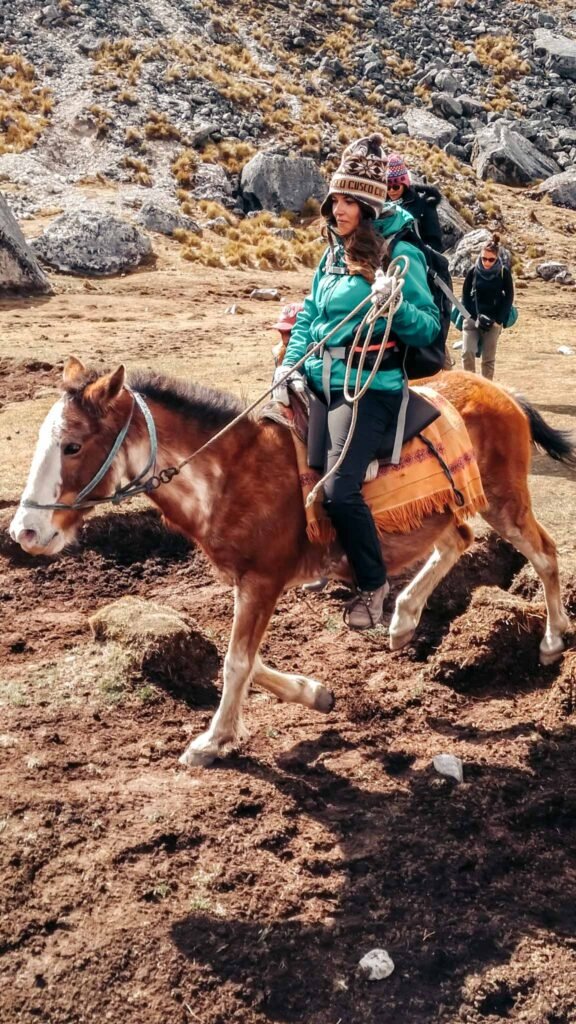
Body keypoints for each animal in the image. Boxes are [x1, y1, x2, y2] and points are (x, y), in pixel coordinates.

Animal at [9, 358, 575, 766]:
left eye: (73, 445)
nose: (24, 532)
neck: (231, 473)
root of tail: (504, 395)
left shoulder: (262, 580)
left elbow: (237, 661)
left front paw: (212, 740)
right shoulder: (247, 582)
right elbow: (244, 659)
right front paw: (316, 694)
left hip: (504, 501)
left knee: (544, 553)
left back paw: (551, 641)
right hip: (447, 511)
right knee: (456, 540)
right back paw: (403, 620)